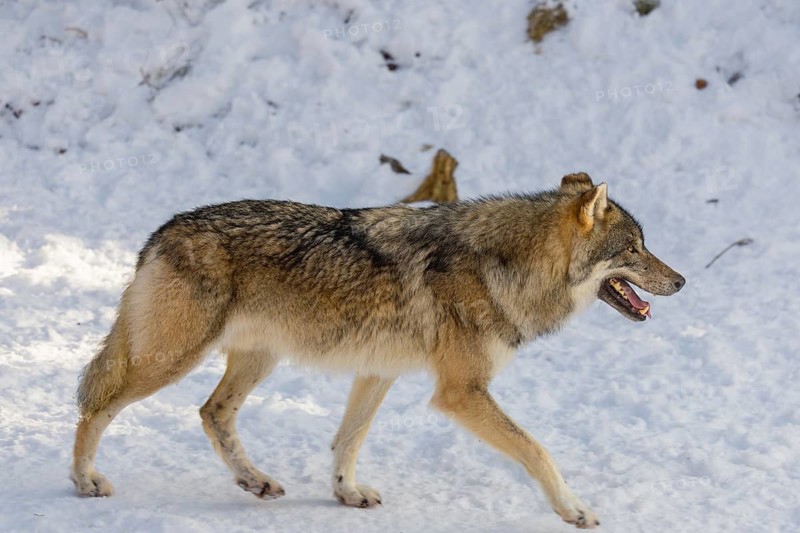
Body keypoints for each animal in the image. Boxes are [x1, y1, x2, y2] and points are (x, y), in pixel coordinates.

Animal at [72, 173, 684, 529]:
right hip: (170, 361)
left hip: (256, 360)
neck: (507, 265)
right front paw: (573, 509)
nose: (681, 281)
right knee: (95, 405)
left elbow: (348, 441)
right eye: (634, 249)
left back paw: (255, 481)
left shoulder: (378, 372)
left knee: (211, 412)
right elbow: (538, 451)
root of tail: (161, 232)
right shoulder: (461, 393)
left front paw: (346, 494)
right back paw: (84, 481)